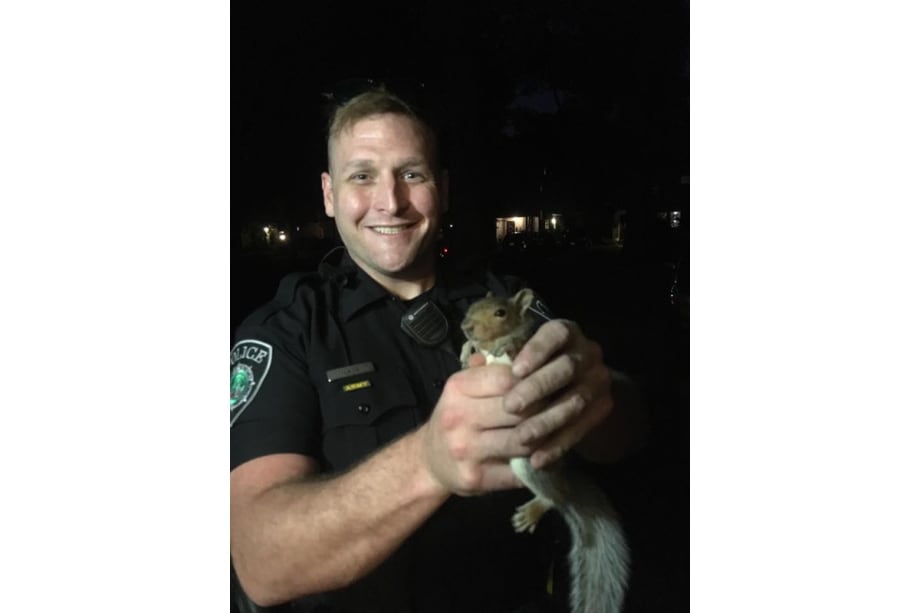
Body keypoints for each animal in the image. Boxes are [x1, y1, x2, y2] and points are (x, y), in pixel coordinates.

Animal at [459, 289, 631, 613]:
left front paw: (503, 344)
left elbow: (515, 346)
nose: (466, 327)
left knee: (557, 496)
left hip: (530, 465)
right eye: (471, 305)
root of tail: (563, 473)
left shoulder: (525, 350)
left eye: (501, 312)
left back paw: (535, 509)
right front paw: (466, 349)